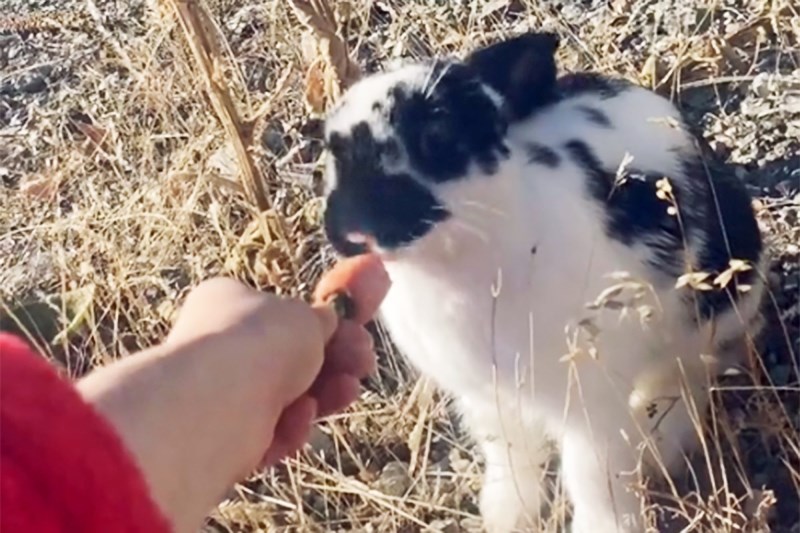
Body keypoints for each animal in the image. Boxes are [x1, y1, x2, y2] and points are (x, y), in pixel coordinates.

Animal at [316, 30, 764, 532]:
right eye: (332, 150)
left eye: (438, 137)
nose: (355, 229)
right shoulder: (488, 399)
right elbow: (511, 453)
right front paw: (506, 514)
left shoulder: (591, 405)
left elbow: (593, 475)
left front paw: (604, 526)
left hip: (711, 320)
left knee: (685, 381)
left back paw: (658, 447)